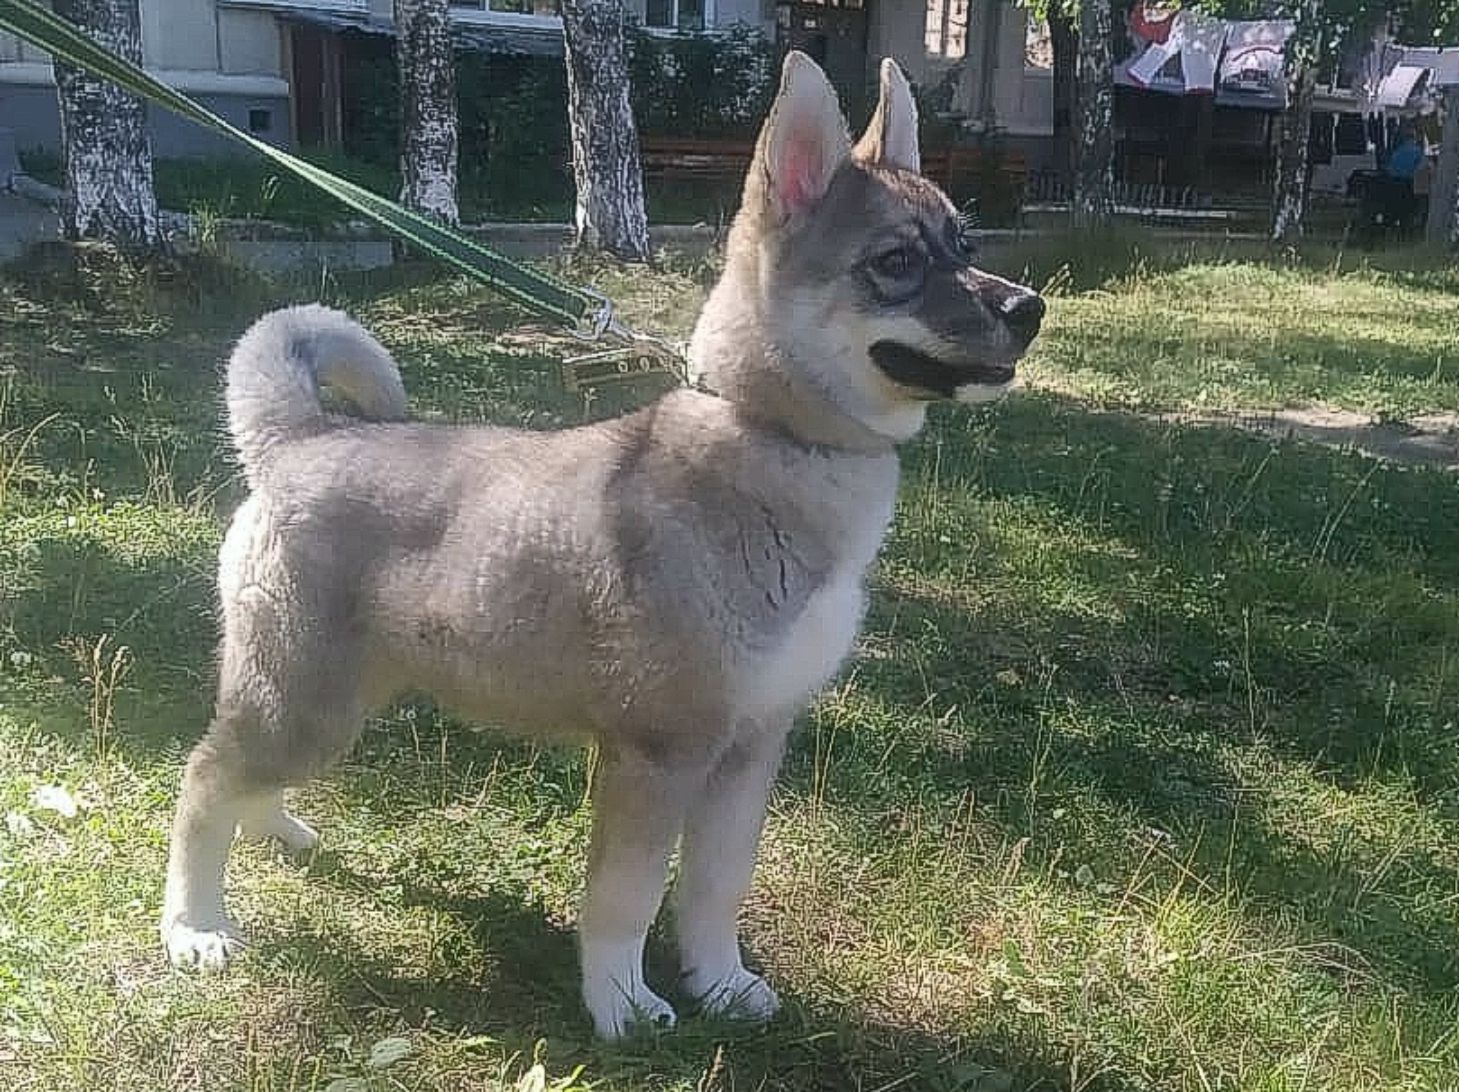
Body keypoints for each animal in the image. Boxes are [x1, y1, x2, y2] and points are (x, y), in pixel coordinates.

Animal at [162, 53, 1038, 1039]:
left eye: (963, 243)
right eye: (895, 261)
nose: (1030, 308)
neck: (769, 439)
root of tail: (300, 439)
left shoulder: (750, 750)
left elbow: (713, 891)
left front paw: (720, 984)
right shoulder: (655, 759)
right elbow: (625, 900)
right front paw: (622, 1004)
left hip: (327, 705)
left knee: (241, 778)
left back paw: (276, 833)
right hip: (300, 703)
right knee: (202, 782)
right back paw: (194, 927)